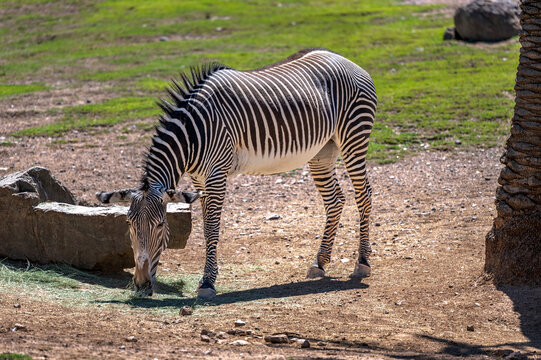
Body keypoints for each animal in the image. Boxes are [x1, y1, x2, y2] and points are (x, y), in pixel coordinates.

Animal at [97, 48, 376, 298]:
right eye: (129, 224)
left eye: (161, 225)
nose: (141, 285)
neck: (193, 133)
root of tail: (346, 60)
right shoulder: (199, 180)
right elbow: (206, 227)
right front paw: (208, 276)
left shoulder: (216, 174)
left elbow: (212, 228)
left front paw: (207, 283)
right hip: (322, 151)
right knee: (335, 200)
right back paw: (320, 262)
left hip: (353, 137)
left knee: (364, 194)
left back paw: (362, 263)